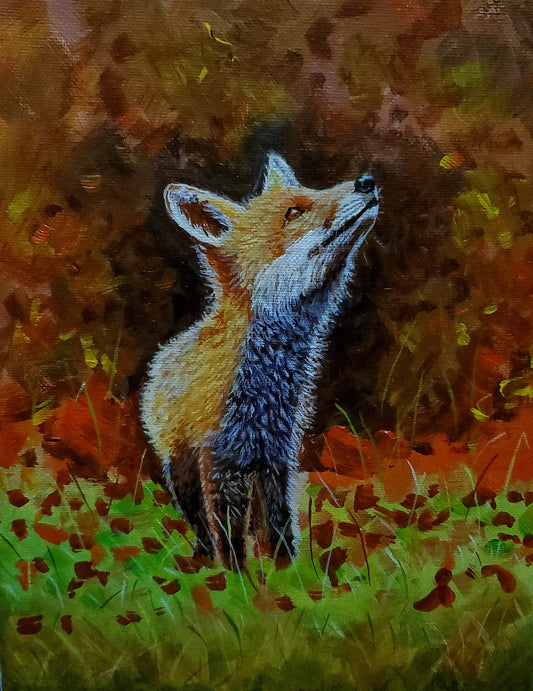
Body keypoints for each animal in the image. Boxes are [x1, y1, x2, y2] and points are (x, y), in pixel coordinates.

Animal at [141, 153, 379, 569]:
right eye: (293, 212)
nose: (367, 181)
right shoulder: (220, 464)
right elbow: (230, 540)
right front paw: (237, 580)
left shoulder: (277, 457)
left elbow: (280, 528)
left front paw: (287, 573)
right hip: (182, 468)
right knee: (199, 524)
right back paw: (202, 562)